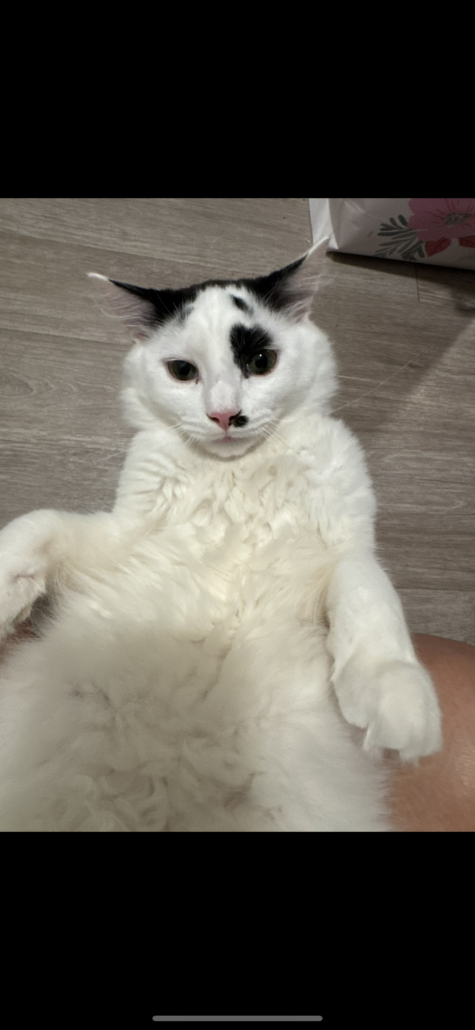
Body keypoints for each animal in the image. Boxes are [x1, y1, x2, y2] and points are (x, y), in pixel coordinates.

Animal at [0, 241, 442, 831]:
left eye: (260, 362)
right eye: (182, 371)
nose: (225, 414)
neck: (236, 476)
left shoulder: (347, 549)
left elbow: (369, 593)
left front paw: (395, 696)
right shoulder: (123, 537)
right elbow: (35, 523)